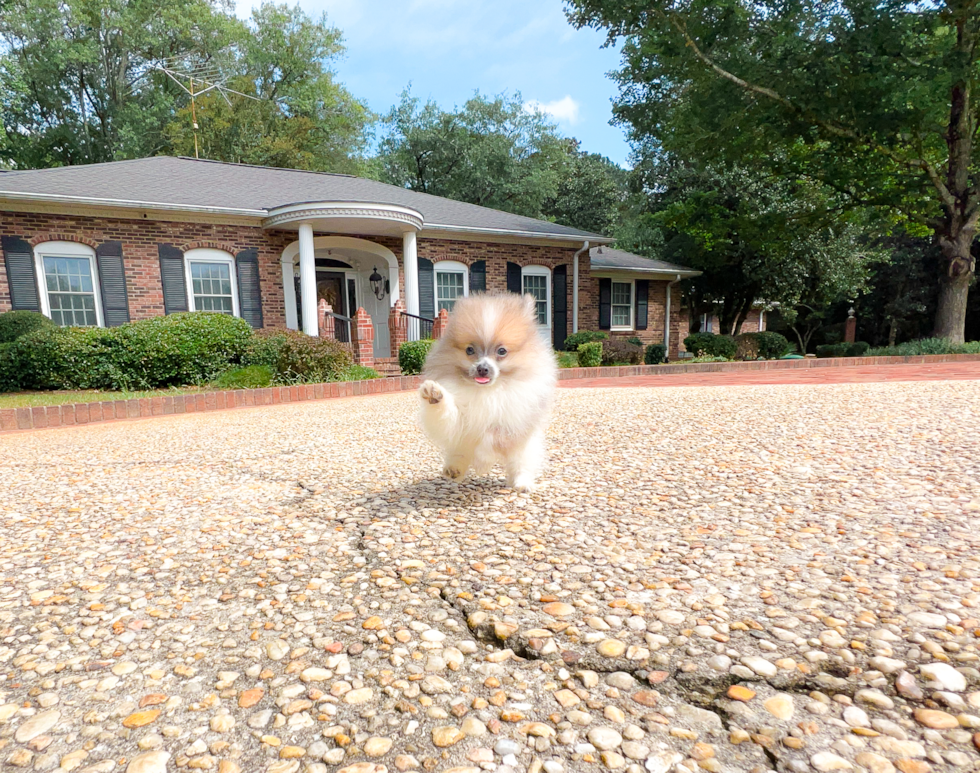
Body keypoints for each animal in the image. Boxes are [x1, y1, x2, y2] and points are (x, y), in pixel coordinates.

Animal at [418, 292, 560, 492]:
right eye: (470, 350)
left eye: (502, 351)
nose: (482, 369)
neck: (487, 391)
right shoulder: (461, 418)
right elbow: (450, 418)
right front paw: (434, 395)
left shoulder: (513, 420)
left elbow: (490, 438)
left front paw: (484, 461)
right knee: (460, 452)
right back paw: (455, 469)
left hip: (528, 446)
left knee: (521, 463)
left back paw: (522, 483)